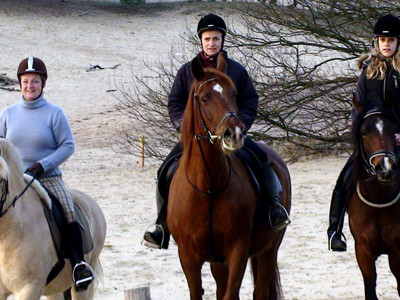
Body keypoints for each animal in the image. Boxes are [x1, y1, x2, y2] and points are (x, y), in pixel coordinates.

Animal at [167, 52, 292, 298]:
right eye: (204, 98)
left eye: (233, 93)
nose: (233, 133)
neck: (209, 187)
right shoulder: (187, 256)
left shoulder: (237, 251)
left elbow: (230, 294)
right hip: (219, 262)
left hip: (269, 249)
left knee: (260, 290)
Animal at [348, 96, 400, 300]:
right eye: (363, 131)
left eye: (394, 130)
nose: (385, 168)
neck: (378, 200)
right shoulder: (363, 252)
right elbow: (370, 287)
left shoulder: (397, 252)